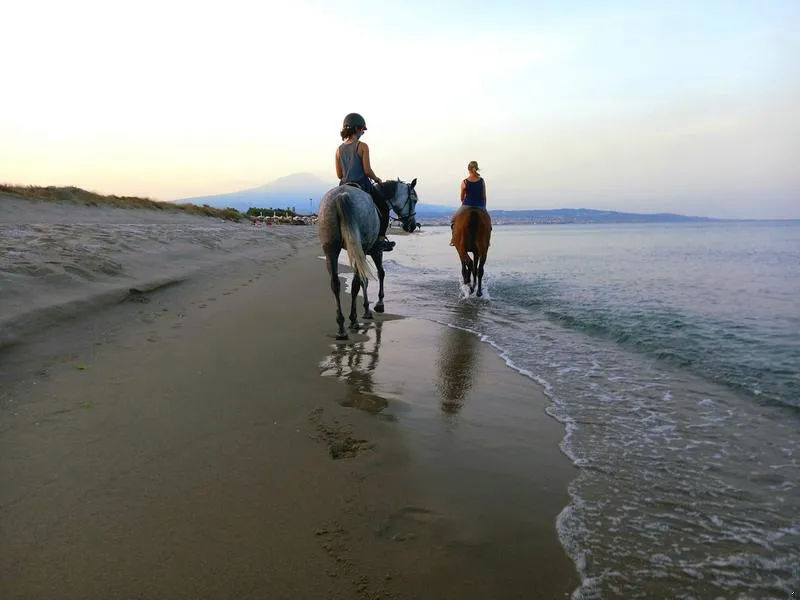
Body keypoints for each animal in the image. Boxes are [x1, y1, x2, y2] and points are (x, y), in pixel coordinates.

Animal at [317, 178, 418, 340]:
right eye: (414, 200)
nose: (412, 225)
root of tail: (341, 196)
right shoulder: (375, 251)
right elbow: (380, 274)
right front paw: (379, 304)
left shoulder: (361, 253)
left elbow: (364, 280)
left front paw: (366, 309)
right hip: (360, 247)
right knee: (354, 284)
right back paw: (353, 320)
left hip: (331, 249)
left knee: (336, 284)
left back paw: (341, 327)